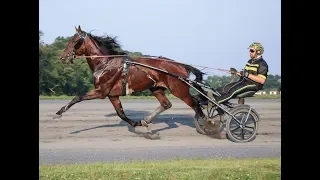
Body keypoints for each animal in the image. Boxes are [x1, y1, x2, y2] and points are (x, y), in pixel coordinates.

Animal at [54, 25, 208, 129]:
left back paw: (207, 125)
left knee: (196, 105)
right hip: (156, 88)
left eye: (75, 41)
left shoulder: (101, 91)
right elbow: (120, 113)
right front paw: (136, 123)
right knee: (166, 104)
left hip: (179, 90)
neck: (105, 63)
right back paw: (146, 119)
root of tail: (181, 65)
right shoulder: (112, 95)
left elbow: (77, 98)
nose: (62, 57)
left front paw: (59, 112)